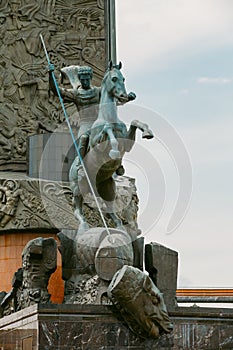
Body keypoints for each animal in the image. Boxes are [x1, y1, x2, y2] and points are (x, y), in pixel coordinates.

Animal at [69, 62, 153, 232]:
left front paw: (148, 132)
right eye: (114, 78)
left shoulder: (127, 144)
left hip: (106, 189)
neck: (109, 117)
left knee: (109, 210)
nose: (125, 96)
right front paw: (114, 151)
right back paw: (84, 225)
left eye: (123, 78)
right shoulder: (97, 143)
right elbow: (107, 130)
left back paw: (120, 227)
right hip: (77, 188)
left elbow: (135, 122)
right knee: (77, 209)